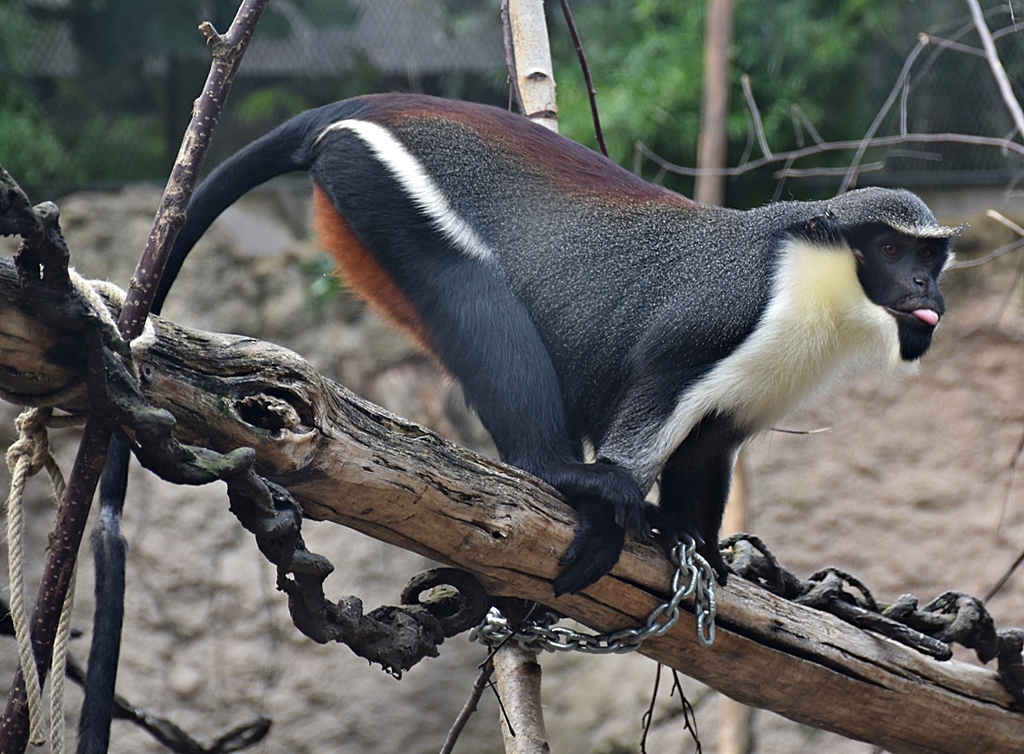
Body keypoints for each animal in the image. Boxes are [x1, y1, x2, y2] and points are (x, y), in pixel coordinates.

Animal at [151, 93, 956, 596]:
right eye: (890, 250)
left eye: (931, 256)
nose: (927, 292)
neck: (813, 279)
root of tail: (361, 109)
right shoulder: (721, 319)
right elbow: (650, 405)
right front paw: (617, 502)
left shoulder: (748, 399)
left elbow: (707, 450)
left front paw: (696, 544)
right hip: (384, 183)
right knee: (476, 300)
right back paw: (559, 474)